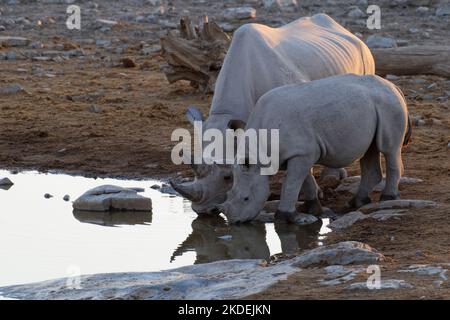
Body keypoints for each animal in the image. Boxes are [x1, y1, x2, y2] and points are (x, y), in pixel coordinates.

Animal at [217, 75, 412, 224]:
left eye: (246, 198)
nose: (234, 221)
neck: (259, 153)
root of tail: (393, 87)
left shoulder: (301, 153)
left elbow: (291, 183)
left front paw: (284, 217)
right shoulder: (300, 153)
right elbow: (304, 180)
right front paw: (312, 209)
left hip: (389, 106)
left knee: (388, 149)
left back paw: (388, 198)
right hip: (375, 107)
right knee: (370, 150)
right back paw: (356, 202)